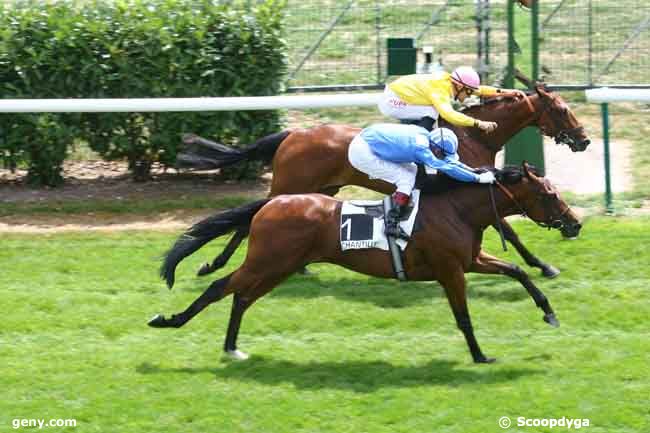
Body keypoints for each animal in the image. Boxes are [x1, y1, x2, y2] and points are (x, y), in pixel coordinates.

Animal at [148, 164, 584, 362]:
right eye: (548, 194)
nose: (575, 223)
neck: (457, 209)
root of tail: (271, 203)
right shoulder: (449, 270)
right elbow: (463, 316)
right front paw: (480, 356)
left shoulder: (470, 260)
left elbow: (517, 271)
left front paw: (549, 312)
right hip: (268, 262)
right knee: (220, 287)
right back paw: (169, 320)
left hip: (279, 267)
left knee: (241, 298)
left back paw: (232, 346)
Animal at [181, 85, 588, 280]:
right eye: (562, 110)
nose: (583, 140)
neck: (475, 136)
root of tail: (292, 134)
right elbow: (511, 229)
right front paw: (543, 265)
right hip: (288, 184)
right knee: (246, 221)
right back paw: (211, 265)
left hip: (320, 188)